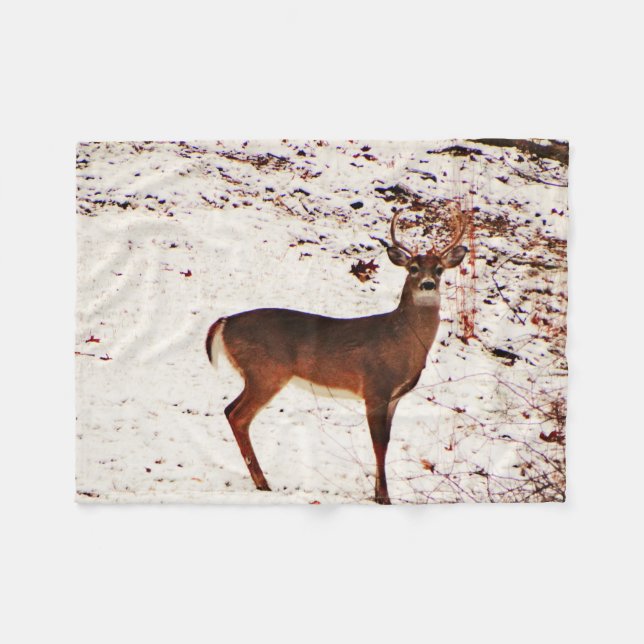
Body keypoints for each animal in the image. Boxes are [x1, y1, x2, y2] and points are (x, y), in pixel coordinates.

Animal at [205, 203, 468, 504]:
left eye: (439, 270)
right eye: (412, 268)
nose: (427, 284)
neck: (401, 341)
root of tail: (225, 322)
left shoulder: (394, 397)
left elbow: (386, 441)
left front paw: (380, 494)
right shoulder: (375, 387)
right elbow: (378, 443)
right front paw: (383, 497)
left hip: (256, 374)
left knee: (229, 409)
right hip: (266, 371)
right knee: (239, 416)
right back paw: (263, 483)